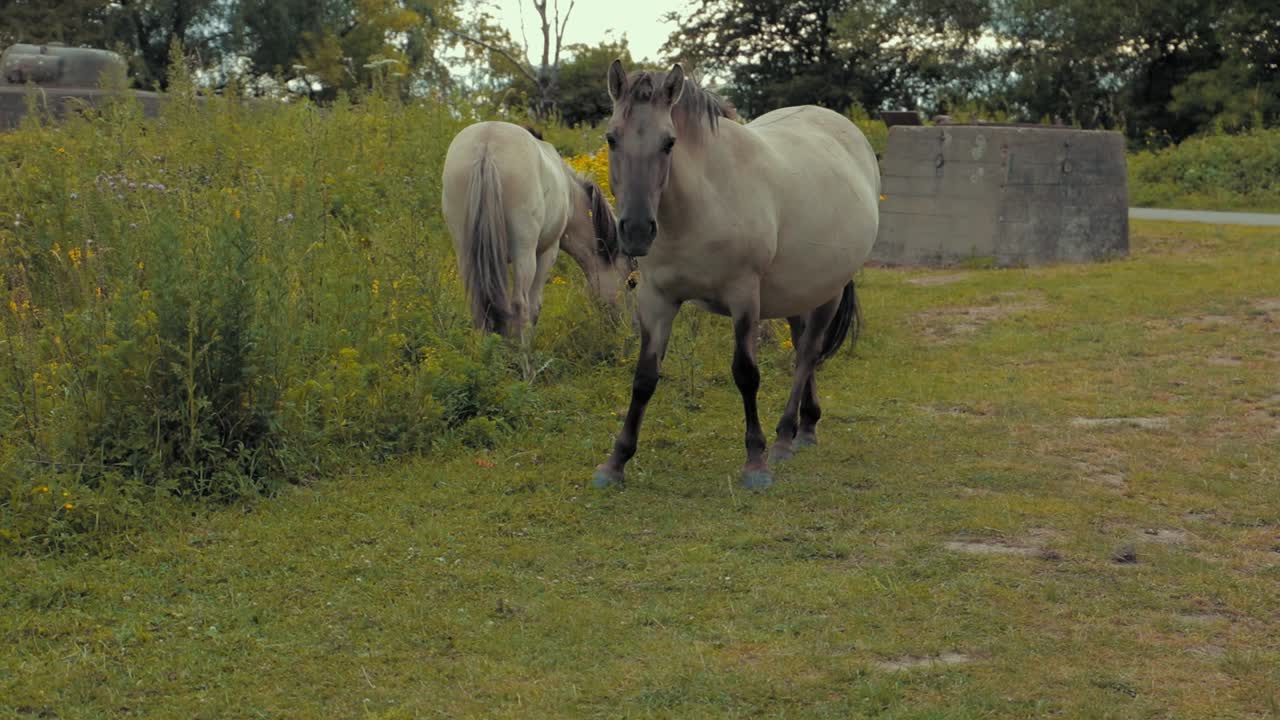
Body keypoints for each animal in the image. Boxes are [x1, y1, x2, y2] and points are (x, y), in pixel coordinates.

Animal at [441, 121, 631, 340]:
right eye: (631, 283)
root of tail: (487, 143)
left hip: (465, 252)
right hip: (525, 254)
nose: (628, 327)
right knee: (519, 304)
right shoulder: (547, 252)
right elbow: (534, 307)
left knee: (479, 304)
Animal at [591, 60, 880, 490]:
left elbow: (746, 374)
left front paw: (755, 462)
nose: (638, 230)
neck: (701, 203)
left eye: (669, 143)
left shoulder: (744, 297)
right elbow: (644, 378)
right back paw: (806, 427)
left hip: (828, 289)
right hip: (799, 289)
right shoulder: (657, 299)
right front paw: (615, 462)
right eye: (612, 139)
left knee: (807, 354)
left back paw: (785, 437)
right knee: (802, 345)